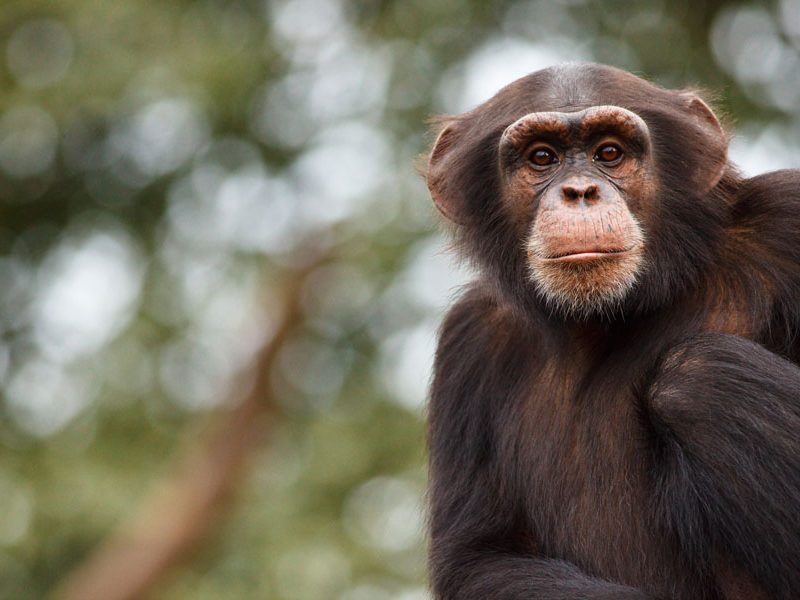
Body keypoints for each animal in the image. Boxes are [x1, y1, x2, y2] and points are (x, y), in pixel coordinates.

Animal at [428, 63, 800, 596]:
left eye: (610, 153)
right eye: (542, 157)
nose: (580, 191)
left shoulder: (788, 220)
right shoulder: (470, 339)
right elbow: (478, 558)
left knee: (698, 377)